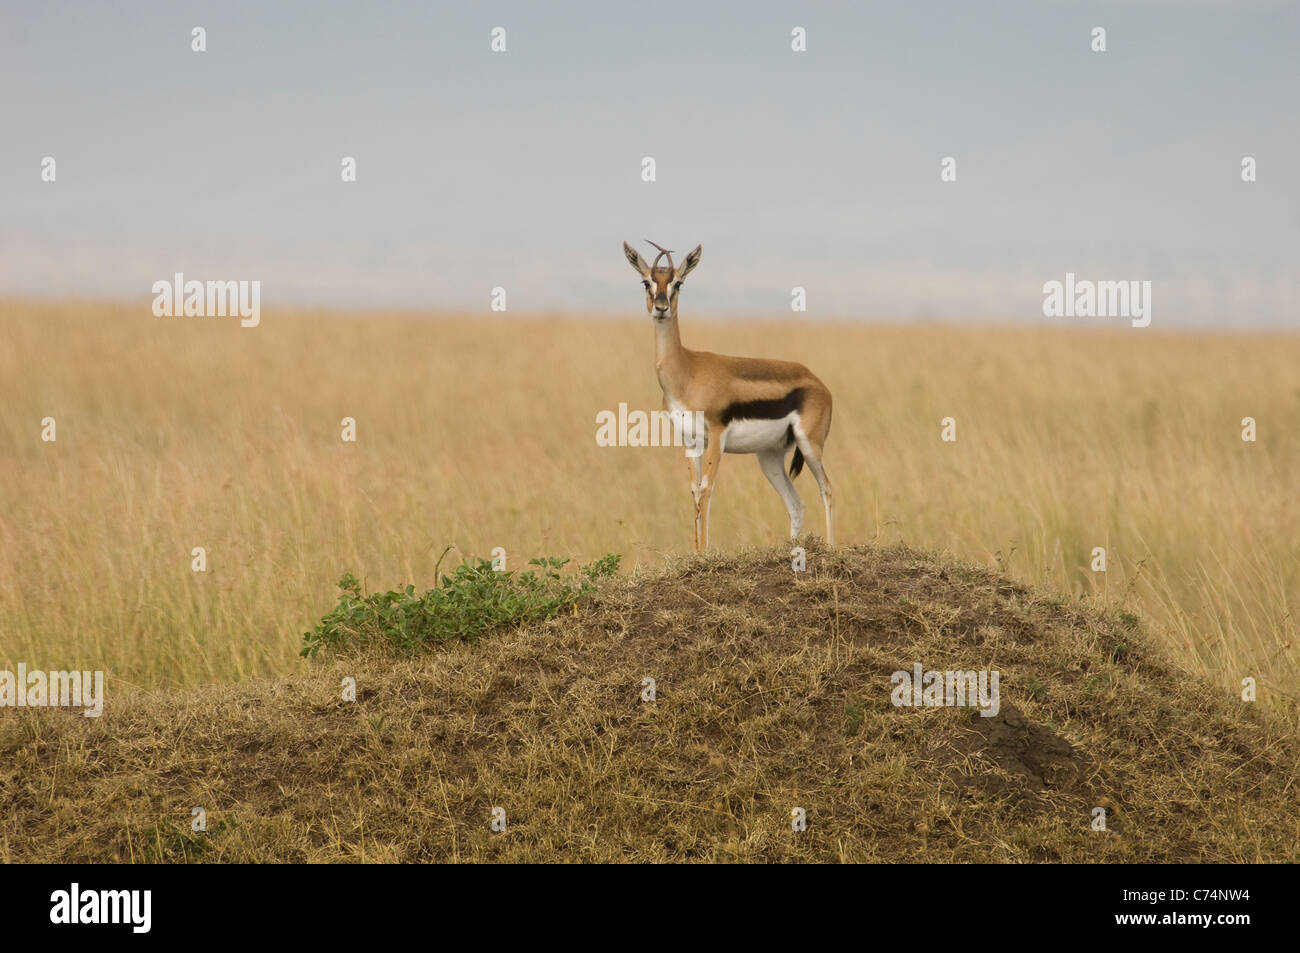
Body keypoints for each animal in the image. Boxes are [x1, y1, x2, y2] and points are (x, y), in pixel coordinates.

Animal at [622, 240, 835, 552]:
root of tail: (820, 384)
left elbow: (707, 488)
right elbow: (694, 490)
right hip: (768, 457)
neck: (687, 371)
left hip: (810, 446)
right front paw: (697, 552)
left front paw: (705, 552)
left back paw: (831, 547)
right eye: (646, 281)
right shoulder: (689, 439)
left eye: (678, 282)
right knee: (797, 503)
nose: (661, 308)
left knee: (827, 489)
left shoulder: (717, 435)